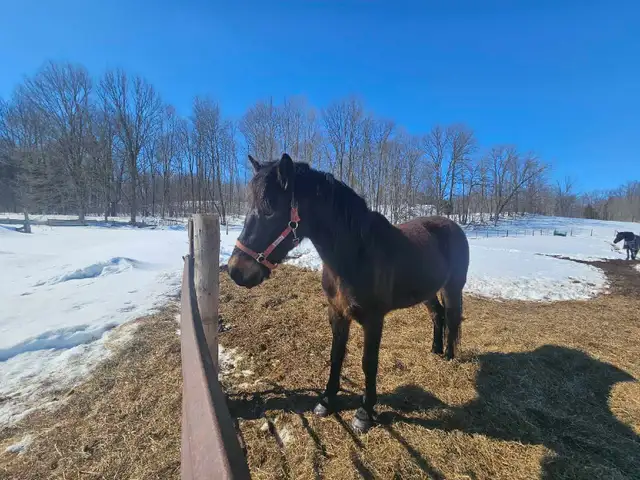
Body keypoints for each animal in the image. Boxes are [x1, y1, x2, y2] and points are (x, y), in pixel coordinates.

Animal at [228, 153, 470, 433]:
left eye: (269, 208)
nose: (236, 270)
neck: (355, 254)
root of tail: (452, 226)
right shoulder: (337, 313)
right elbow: (336, 356)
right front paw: (326, 401)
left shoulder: (373, 320)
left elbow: (368, 362)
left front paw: (365, 413)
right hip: (427, 290)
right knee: (437, 315)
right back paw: (435, 350)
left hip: (452, 287)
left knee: (452, 317)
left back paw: (449, 356)